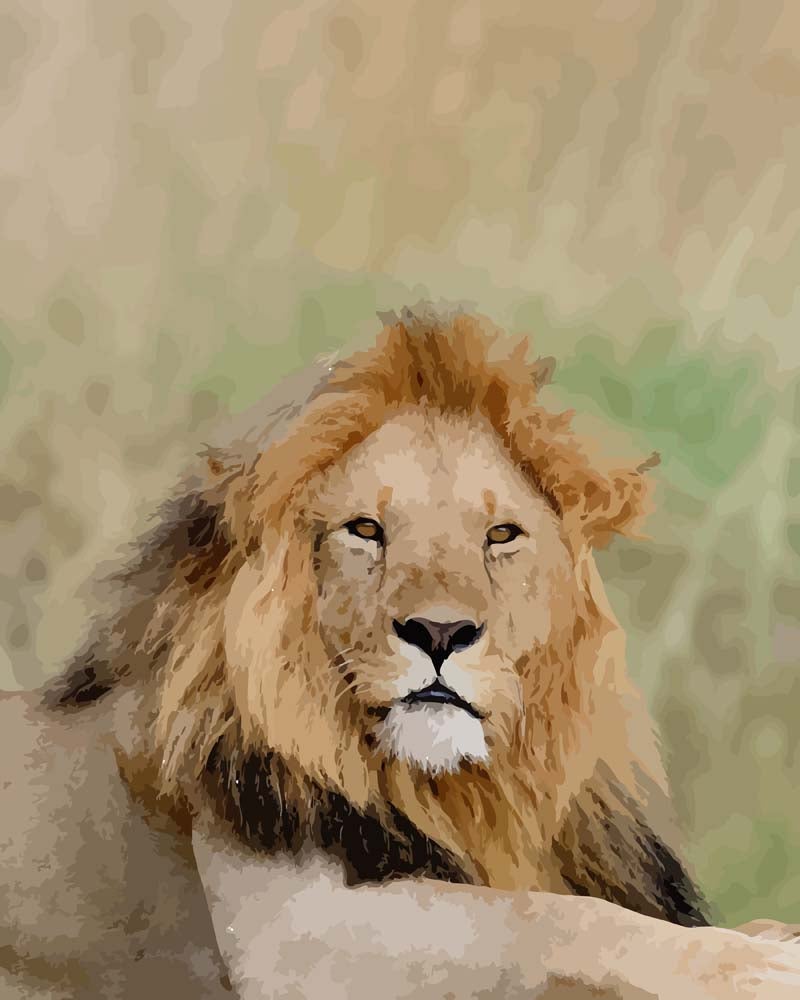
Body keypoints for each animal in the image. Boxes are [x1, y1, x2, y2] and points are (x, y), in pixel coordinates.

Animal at [2, 307, 799, 999]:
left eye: (500, 536)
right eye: (366, 529)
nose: (440, 634)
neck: (458, 790)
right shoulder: (285, 934)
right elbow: (539, 917)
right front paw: (754, 965)